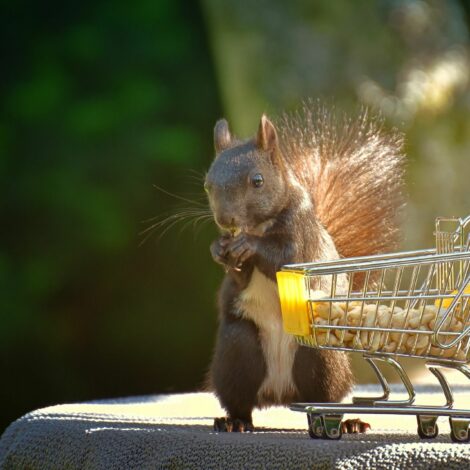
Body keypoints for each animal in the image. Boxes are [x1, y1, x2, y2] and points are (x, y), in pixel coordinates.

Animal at [204, 103, 406, 434]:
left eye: (257, 180)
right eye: (207, 185)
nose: (226, 219)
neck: (258, 226)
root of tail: (280, 392)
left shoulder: (303, 237)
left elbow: (284, 257)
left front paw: (249, 245)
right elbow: (237, 277)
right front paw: (218, 249)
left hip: (321, 356)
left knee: (324, 400)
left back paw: (345, 422)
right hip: (237, 351)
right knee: (241, 400)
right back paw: (234, 421)